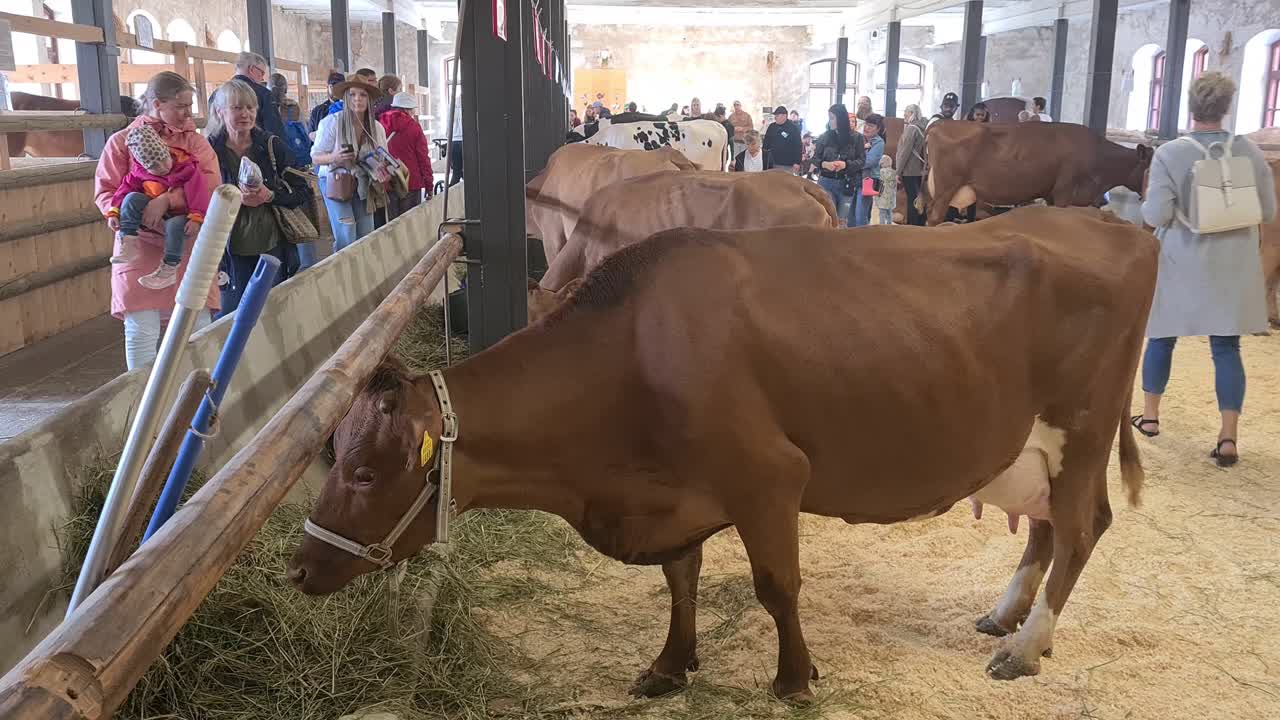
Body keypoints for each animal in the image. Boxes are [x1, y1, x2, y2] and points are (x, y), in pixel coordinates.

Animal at [288, 206, 1156, 704]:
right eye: (334, 456)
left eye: (364, 472)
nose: (296, 567)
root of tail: (1117, 224)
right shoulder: (676, 492)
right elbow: (682, 581)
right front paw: (671, 665)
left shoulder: (769, 478)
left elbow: (777, 587)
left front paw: (796, 678)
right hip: (1032, 449)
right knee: (1047, 526)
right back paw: (1006, 615)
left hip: (1081, 431)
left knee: (1083, 528)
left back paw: (1025, 647)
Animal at [923, 121, 1153, 226]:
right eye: (1150, 167)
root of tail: (939, 123)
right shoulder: (1063, 193)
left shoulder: (1052, 195)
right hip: (946, 188)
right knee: (934, 217)